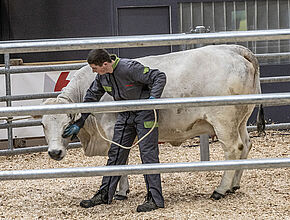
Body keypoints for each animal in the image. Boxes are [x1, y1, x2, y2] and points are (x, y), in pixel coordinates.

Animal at [41, 44, 266, 199]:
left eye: (66, 125)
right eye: (43, 125)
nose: (54, 152)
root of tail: (234, 49)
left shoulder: (114, 131)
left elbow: (119, 160)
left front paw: (120, 192)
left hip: (224, 121)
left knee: (233, 148)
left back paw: (221, 189)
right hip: (241, 119)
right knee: (246, 145)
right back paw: (234, 185)